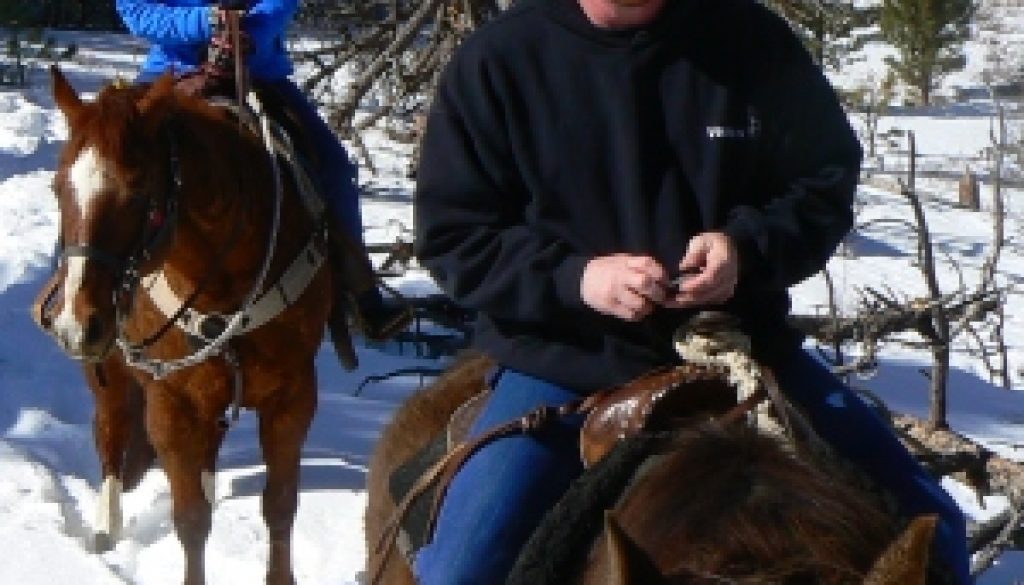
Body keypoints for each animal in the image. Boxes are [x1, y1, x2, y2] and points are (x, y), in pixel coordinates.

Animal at [37, 69, 327, 585]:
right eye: (57, 188)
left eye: (137, 191)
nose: (76, 323)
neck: (226, 285)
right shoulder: (171, 405)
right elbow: (191, 520)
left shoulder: (294, 396)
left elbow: (280, 504)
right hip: (108, 377)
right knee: (112, 435)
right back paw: (105, 525)